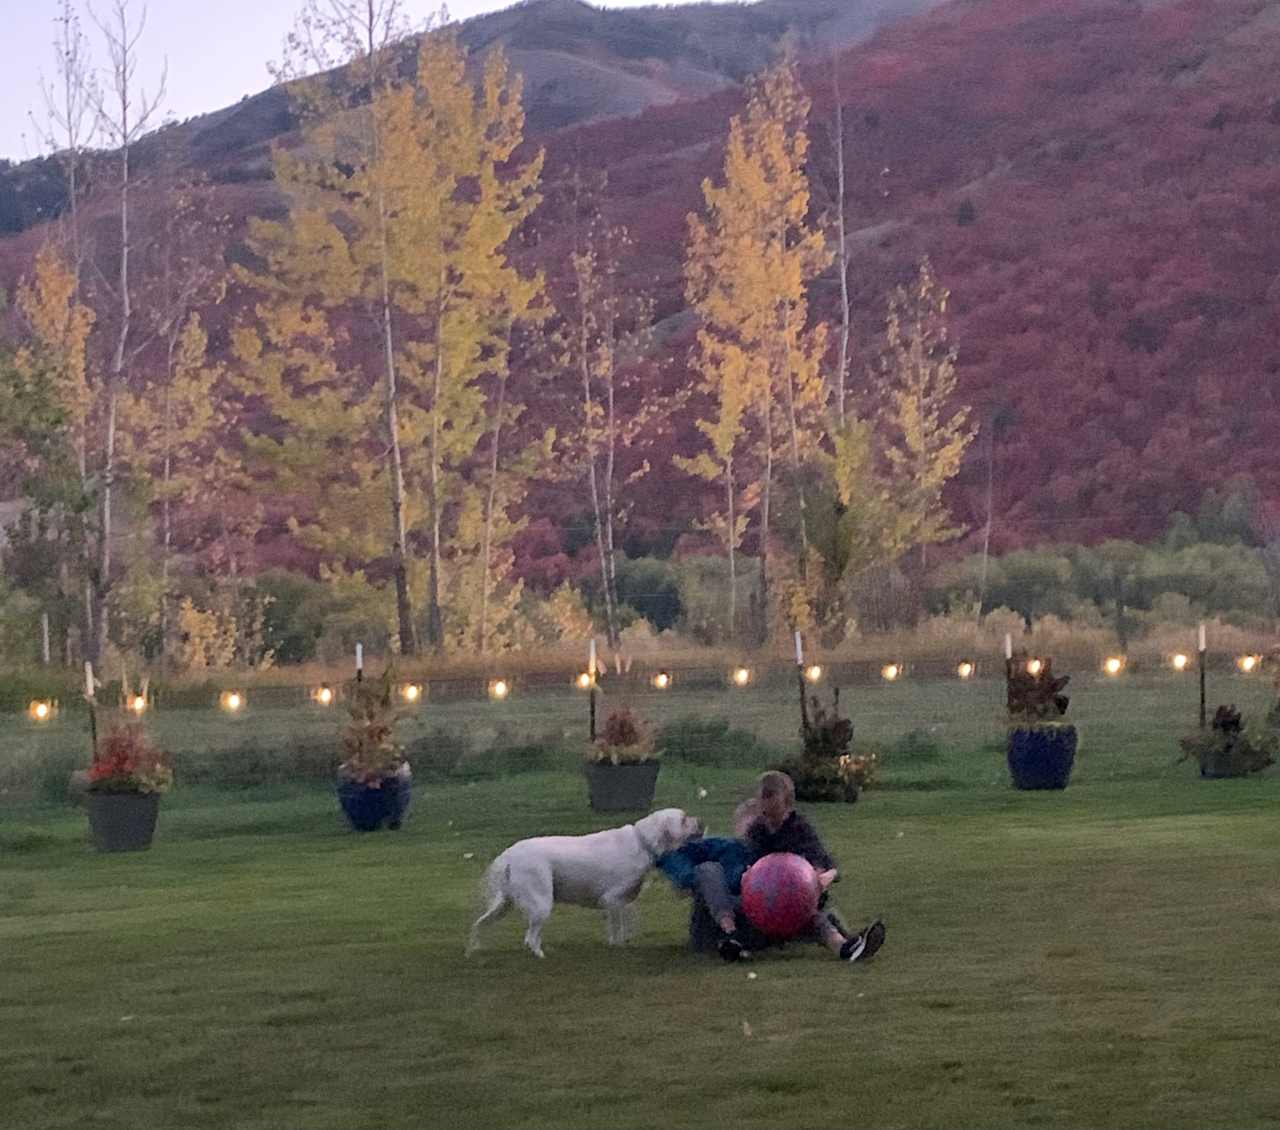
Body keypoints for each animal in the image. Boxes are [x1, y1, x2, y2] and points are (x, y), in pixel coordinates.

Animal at [468, 808, 706, 957]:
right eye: (684, 819)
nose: (701, 822)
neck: (642, 842)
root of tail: (509, 854)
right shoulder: (611, 900)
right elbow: (617, 928)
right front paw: (618, 946)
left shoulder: (622, 902)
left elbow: (627, 921)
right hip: (541, 904)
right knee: (530, 938)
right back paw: (541, 955)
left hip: (504, 904)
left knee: (479, 924)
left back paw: (475, 950)